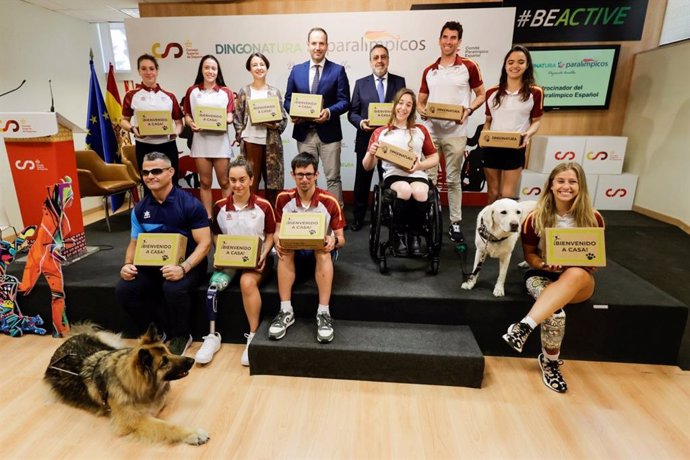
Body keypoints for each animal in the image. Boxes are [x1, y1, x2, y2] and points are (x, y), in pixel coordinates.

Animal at [44, 324, 208, 446]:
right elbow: (167, 426)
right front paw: (193, 434)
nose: (192, 361)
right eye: (164, 362)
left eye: (169, 351)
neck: (128, 383)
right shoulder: (134, 421)